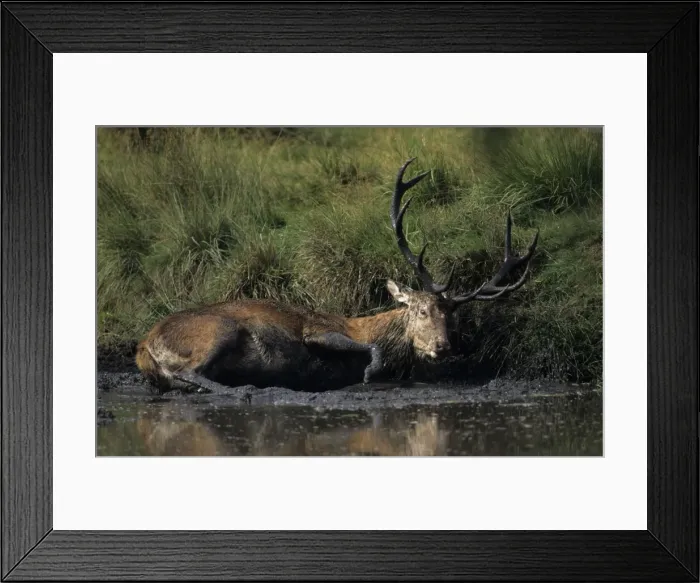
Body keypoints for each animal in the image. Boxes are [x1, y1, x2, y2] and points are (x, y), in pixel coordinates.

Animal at [135, 158, 539, 394]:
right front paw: (370, 372)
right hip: (218, 329)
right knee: (191, 371)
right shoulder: (317, 329)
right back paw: (239, 389)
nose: (443, 346)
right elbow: (369, 351)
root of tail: (144, 348)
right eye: (422, 310)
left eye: (453, 317)